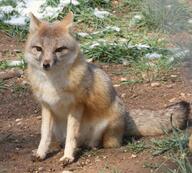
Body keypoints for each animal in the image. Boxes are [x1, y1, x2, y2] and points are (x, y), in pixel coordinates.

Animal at [25, 11, 190, 166]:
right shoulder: (47, 106)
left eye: (59, 49)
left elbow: (72, 136)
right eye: (38, 49)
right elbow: (44, 135)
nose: (46, 64)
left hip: (109, 127)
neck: (53, 83)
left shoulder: (76, 106)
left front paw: (68, 156)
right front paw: (40, 153)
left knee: (99, 143)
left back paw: (91, 146)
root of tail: (126, 117)